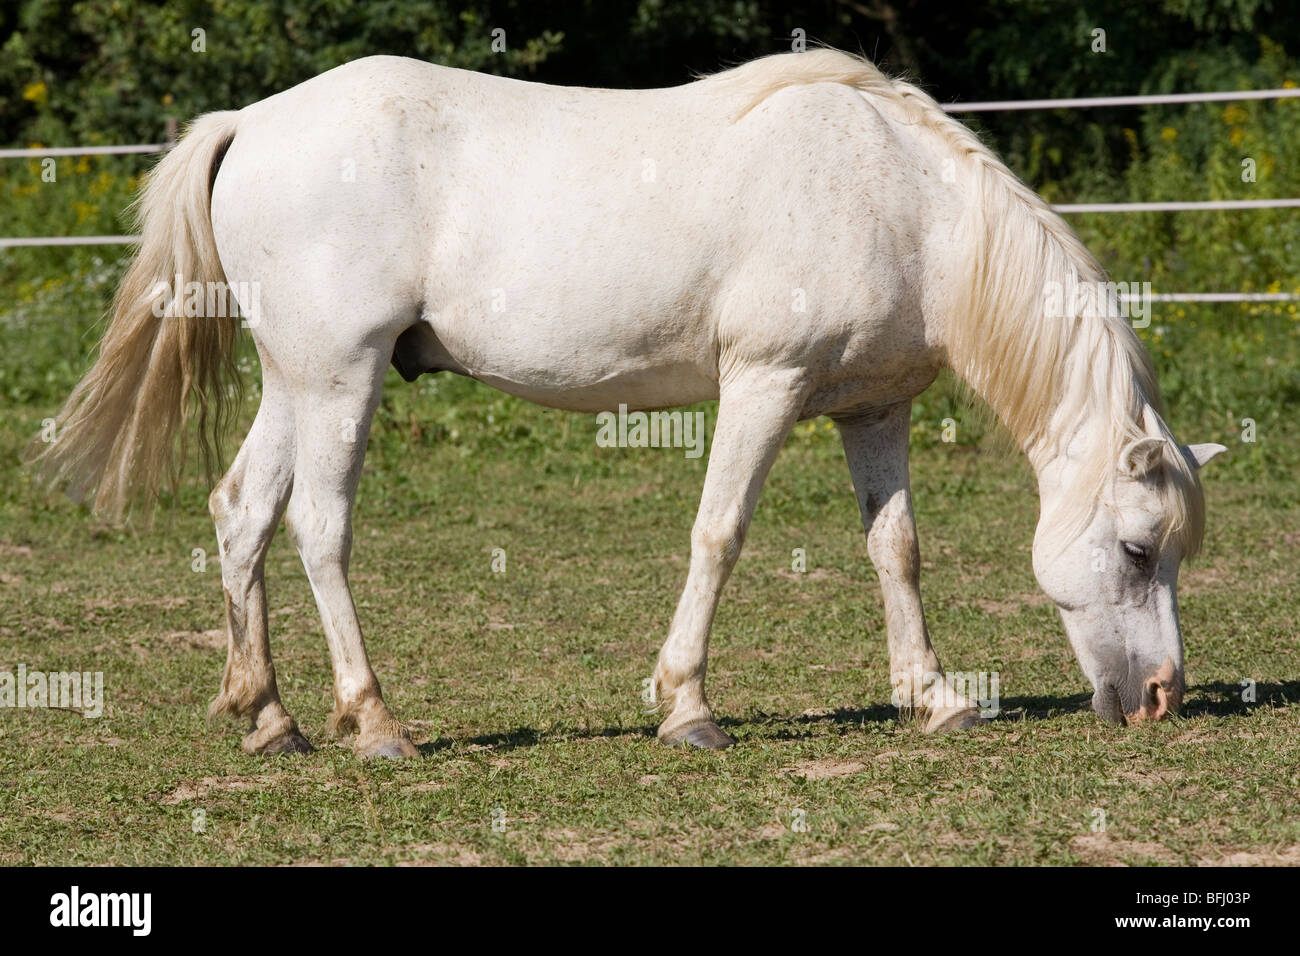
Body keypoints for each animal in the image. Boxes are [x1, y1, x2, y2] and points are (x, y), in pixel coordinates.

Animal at [33, 48, 1225, 758]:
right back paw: (373, 722)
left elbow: (897, 550)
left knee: (242, 513)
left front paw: (933, 696)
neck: (907, 207)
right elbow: (719, 533)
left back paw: (270, 717)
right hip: (340, 377)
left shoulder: (870, 411)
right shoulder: (763, 384)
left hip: (296, 378)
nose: (1163, 697)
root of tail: (251, 122)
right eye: (1134, 548)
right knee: (319, 529)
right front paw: (688, 706)